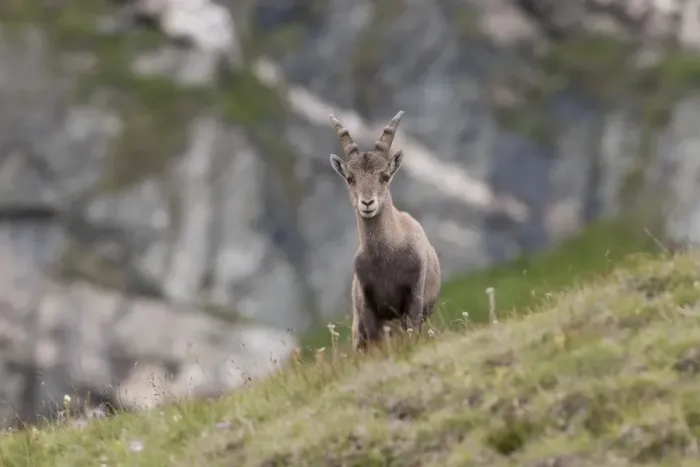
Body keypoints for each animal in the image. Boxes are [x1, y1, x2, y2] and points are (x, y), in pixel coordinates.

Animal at [328, 111, 442, 352]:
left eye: (385, 176)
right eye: (350, 178)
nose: (367, 203)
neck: (386, 256)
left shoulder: (413, 297)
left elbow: (412, 330)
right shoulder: (369, 306)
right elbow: (377, 342)